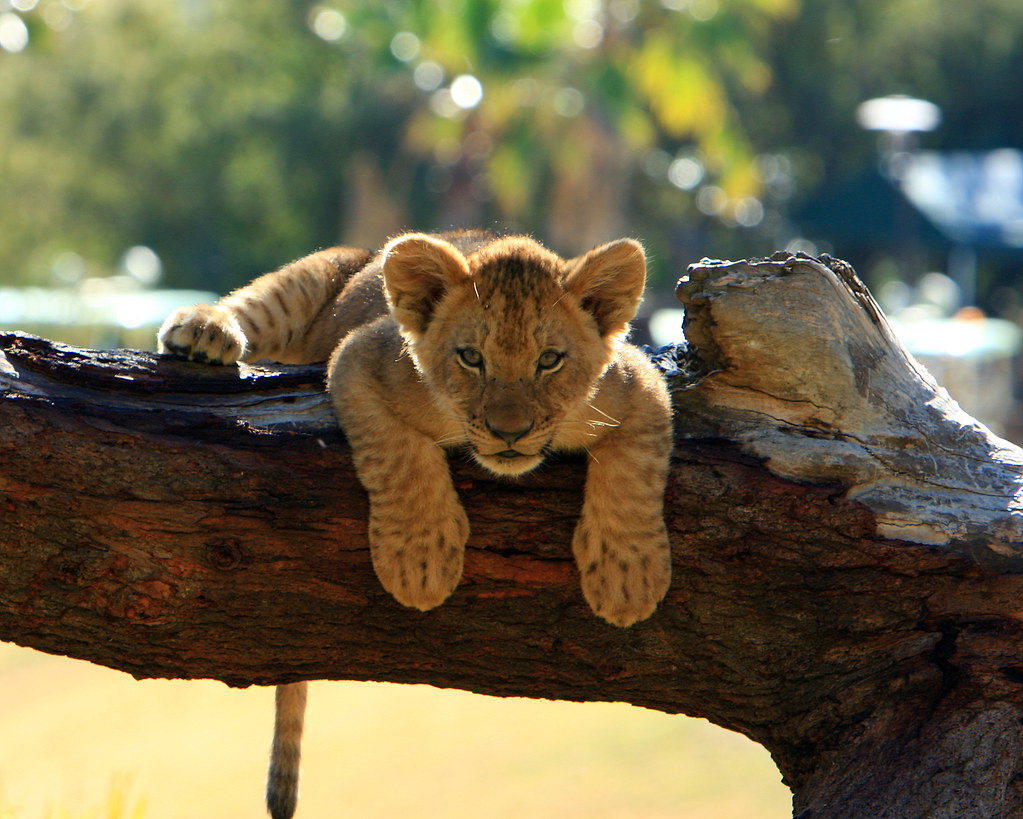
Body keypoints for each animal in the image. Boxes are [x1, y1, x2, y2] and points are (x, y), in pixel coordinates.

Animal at [157, 230, 673, 819]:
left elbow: (636, 469)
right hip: (322, 271)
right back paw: (203, 331)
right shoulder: (358, 359)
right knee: (254, 304)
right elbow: (398, 455)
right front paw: (420, 565)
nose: (509, 432)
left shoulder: (642, 385)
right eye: (471, 358)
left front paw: (629, 579)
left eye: (550, 360)